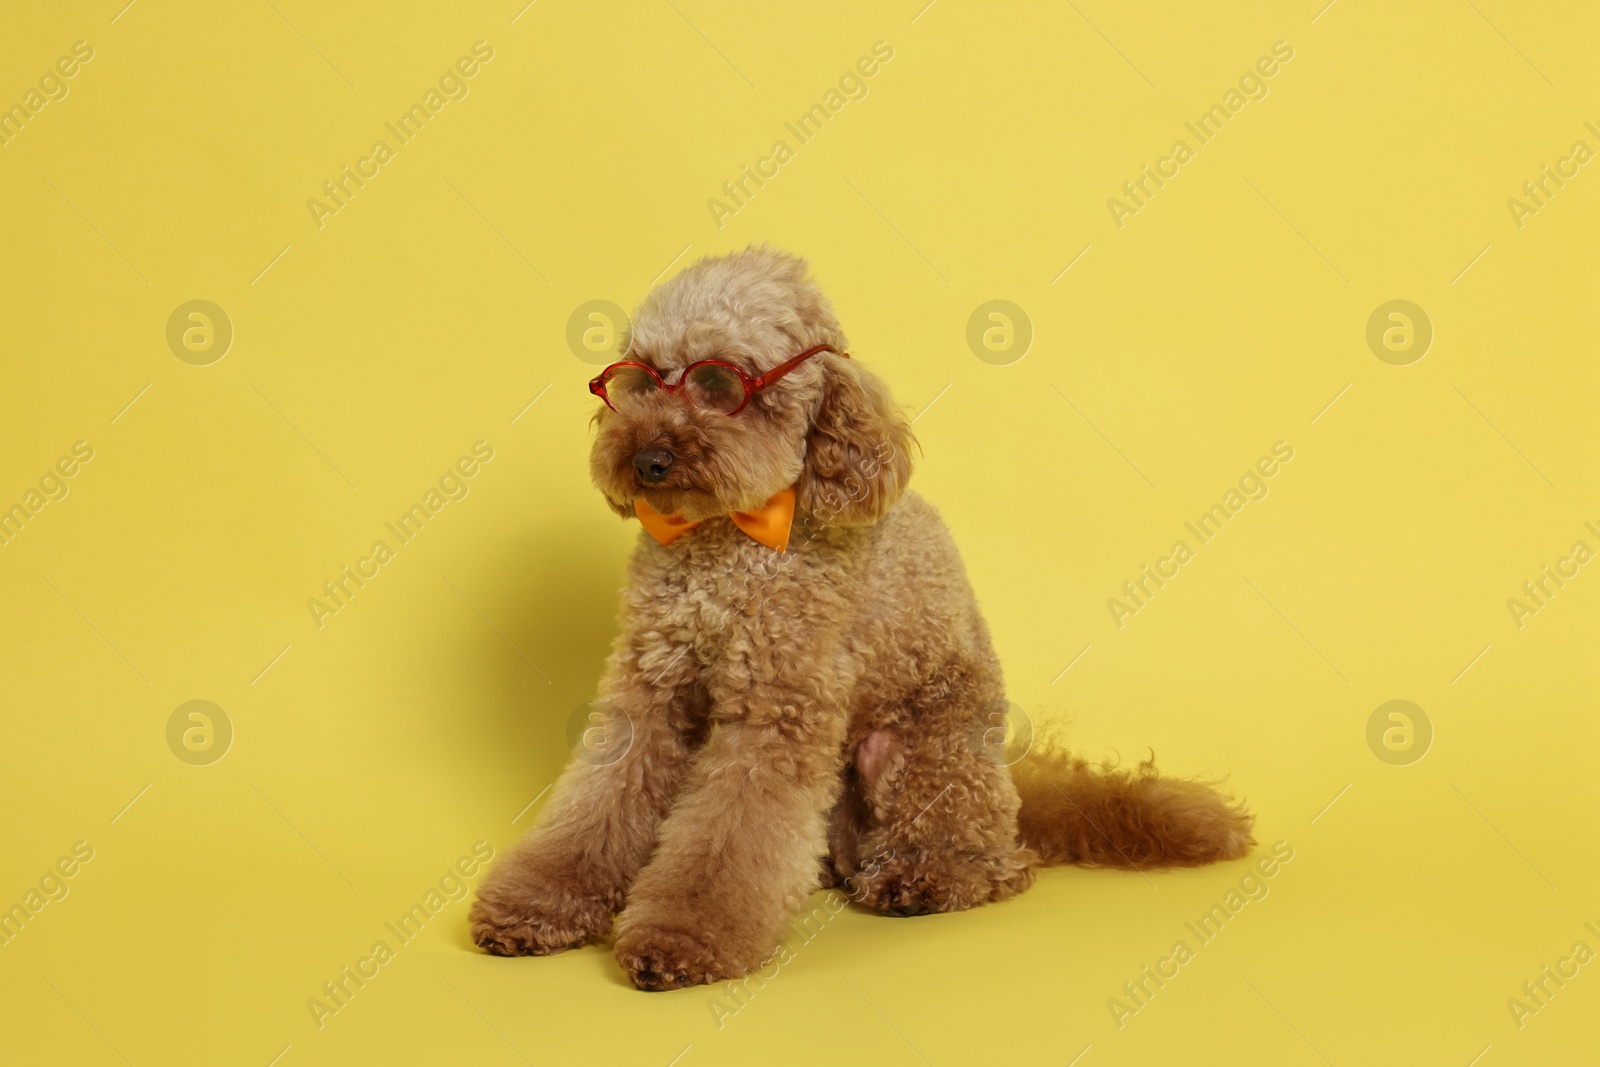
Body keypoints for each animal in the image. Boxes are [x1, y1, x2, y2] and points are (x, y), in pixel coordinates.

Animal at [467, 246, 1254, 991]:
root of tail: (1015, 793)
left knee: (993, 863)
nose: (648, 459)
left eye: (721, 384)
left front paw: (681, 938)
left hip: (926, 754)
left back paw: (924, 878)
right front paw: (535, 906)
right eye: (639, 379)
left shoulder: (780, 711)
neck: (728, 541)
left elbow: (727, 839)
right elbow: (598, 803)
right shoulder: (649, 690)